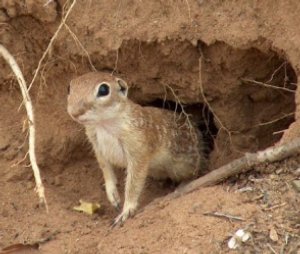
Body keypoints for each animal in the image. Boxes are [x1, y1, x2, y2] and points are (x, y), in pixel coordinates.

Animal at [67, 71, 209, 224]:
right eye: (69, 87)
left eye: (103, 90)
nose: (74, 112)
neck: (104, 124)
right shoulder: (96, 144)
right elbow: (106, 168)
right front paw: (113, 195)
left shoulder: (137, 147)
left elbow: (134, 182)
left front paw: (126, 210)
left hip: (184, 166)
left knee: (194, 173)